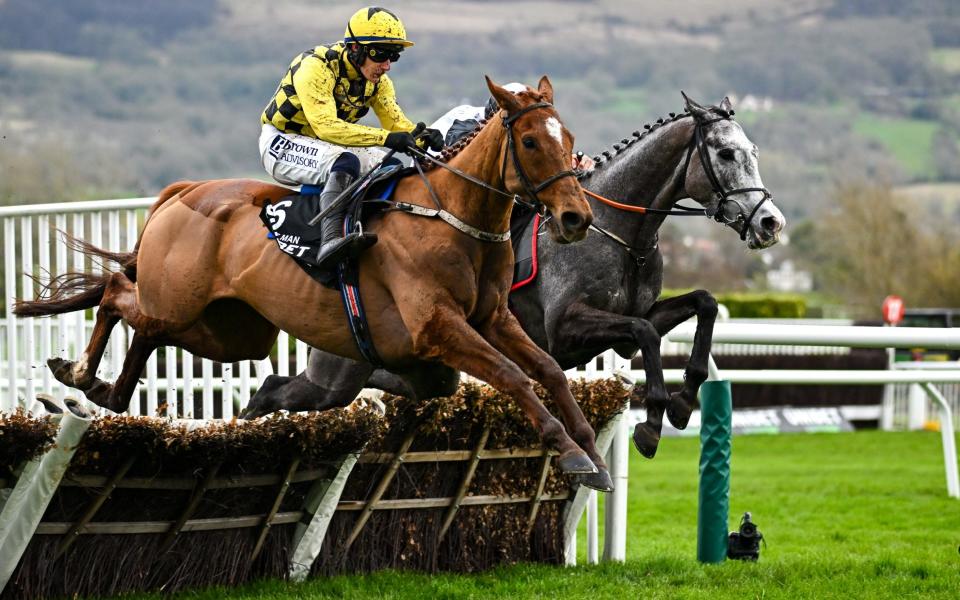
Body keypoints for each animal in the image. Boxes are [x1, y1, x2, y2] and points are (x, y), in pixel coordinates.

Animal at [15, 76, 612, 482]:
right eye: (530, 142)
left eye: (568, 137)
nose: (575, 218)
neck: (450, 216)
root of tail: (185, 191)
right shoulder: (439, 326)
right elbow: (514, 376)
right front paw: (572, 454)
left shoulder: (491, 317)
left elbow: (549, 372)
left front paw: (592, 452)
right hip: (179, 301)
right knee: (119, 296)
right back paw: (77, 374)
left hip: (231, 332)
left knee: (150, 331)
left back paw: (102, 391)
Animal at [242, 94, 788, 486]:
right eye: (725, 153)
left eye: (754, 152)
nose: (769, 222)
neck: (618, 231)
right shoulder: (567, 327)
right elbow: (645, 334)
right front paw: (653, 422)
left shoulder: (633, 316)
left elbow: (702, 304)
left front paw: (682, 399)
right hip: (342, 374)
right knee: (279, 391)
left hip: (402, 375)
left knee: (283, 389)